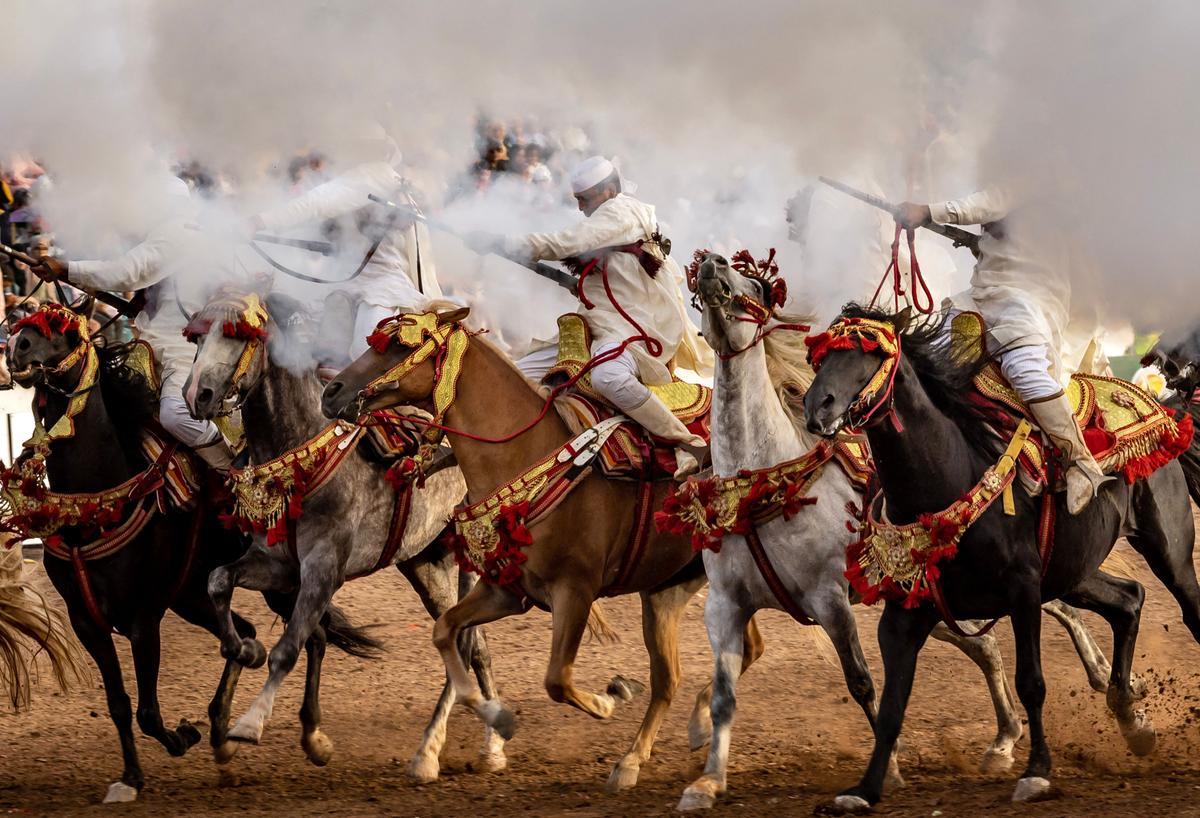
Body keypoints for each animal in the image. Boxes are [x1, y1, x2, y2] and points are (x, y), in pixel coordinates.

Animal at [4, 302, 376, 801]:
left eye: (61, 329)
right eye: (21, 320)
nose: (17, 344)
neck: (100, 501)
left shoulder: (144, 618)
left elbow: (148, 711)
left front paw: (182, 736)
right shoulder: (88, 622)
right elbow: (119, 703)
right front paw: (131, 776)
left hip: (278, 581)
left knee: (309, 636)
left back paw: (306, 737)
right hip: (193, 596)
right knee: (251, 633)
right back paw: (225, 733)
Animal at [314, 307, 753, 791]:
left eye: (399, 344)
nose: (332, 390)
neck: (529, 455)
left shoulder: (575, 591)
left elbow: (556, 679)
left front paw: (609, 698)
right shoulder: (505, 591)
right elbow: (446, 632)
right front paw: (497, 720)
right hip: (669, 591)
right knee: (696, 668)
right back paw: (654, 749)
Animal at [681, 253, 1108, 810]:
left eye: (751, 284)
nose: (710, 265)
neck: (763, 479)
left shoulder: (829, 599)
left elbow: (861, 681)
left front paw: (894, 771)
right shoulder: (725, 605)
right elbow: (724, 695)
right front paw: (707, 780)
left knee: (1052, 609)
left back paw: (1106, 678)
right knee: (989, 646)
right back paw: (1005, 739)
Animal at [801, 305, 1200, 810]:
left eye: (870, 353)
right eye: (822, 357)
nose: (818, 407)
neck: (947, 476)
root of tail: (1165, 411)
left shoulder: (1023, 591)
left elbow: (1031, 682)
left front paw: (1037, 772)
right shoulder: (904, 616)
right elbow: (892, 704)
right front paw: (866, 789)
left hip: (1169, 552)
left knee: (1186, 608)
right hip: (1073, 574)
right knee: (1129, 600)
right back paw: (1132, 724)